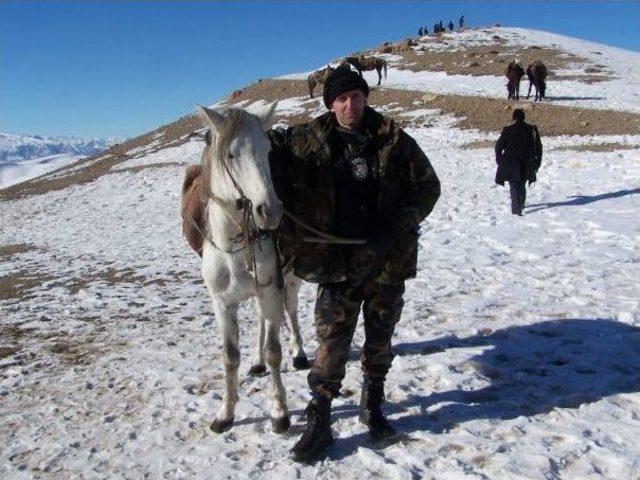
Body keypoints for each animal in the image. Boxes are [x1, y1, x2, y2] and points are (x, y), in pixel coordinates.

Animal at [196, 105, 308, 436]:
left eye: (268, 150)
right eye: (231, 154)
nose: (269, 211)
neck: (233, 250)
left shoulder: (272, 290)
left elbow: (275, 352)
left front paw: (280, 412)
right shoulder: (222, 304)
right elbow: (230, 357)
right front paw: (225, 413)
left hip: (288, 283)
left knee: (291, 312)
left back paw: (299, 353)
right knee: (261, 319)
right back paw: (256, 362)